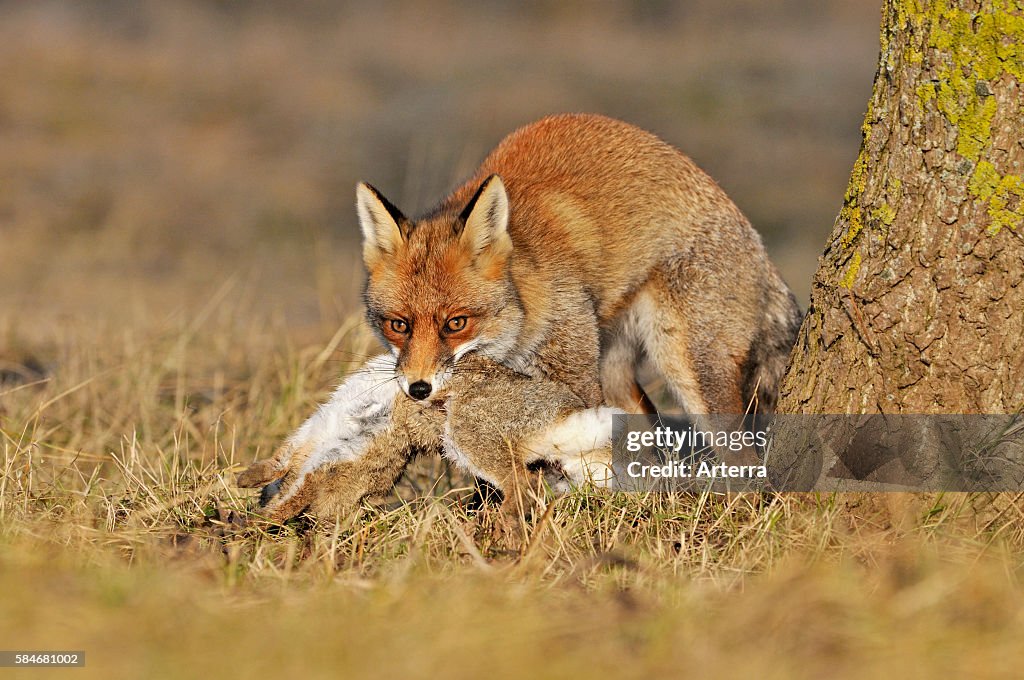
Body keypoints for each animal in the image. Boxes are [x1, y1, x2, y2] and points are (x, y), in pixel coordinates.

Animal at [357, 113, 800, 417]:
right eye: (398, 325)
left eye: (456, 323)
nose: (418, 388)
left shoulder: (574, 378)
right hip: (615, 370)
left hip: (685, 364)